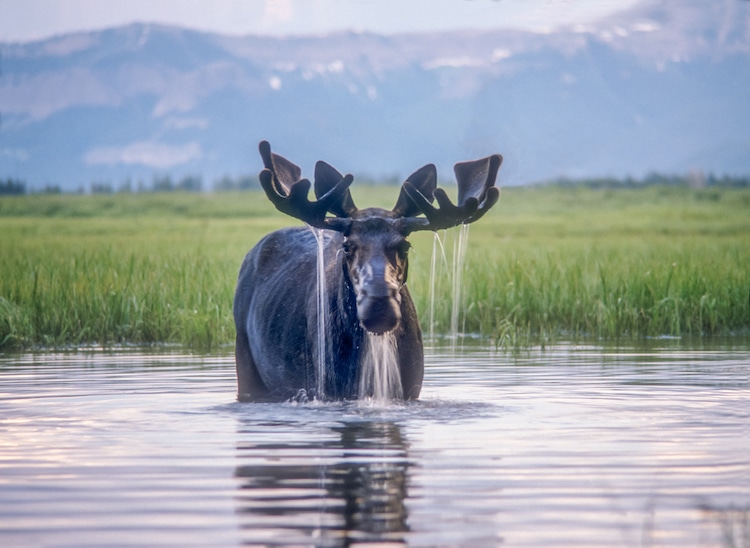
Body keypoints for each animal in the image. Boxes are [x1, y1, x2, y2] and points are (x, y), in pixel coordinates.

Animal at [234, 139, 506, 400]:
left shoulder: (410, 387)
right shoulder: (327, 387)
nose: (379, 307)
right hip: (244, 358)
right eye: (347, 246)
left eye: (405, 245)